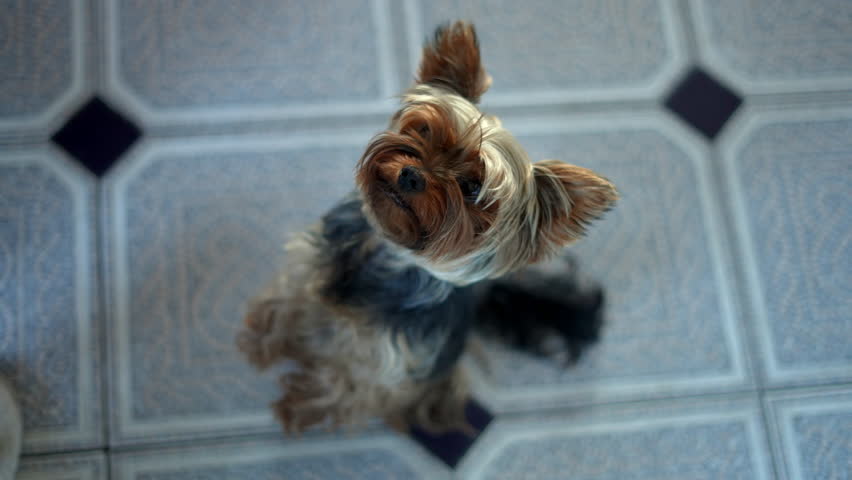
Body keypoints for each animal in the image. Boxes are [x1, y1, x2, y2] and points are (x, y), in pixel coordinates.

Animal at [236, 21, 616, 436]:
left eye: (473, 188)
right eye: (425, 131)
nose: (411, 175)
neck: (390, 256)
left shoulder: (382, 359)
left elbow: (343, 384)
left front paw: (300, 408)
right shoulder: (310, 264)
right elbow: (287, 303)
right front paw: (261, 341)